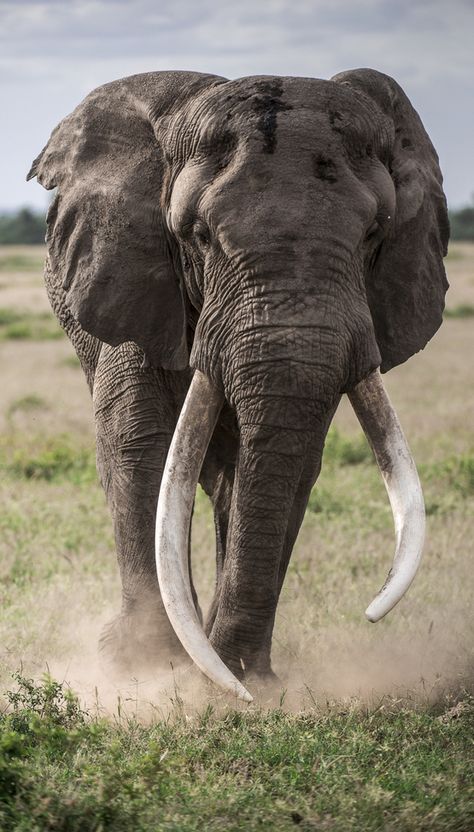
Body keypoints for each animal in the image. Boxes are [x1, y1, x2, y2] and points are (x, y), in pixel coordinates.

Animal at [27, 66, 450, 704]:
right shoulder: (133, 277)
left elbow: (295, 461)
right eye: (198, 234)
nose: (244, 685)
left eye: (375, 232)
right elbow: (137, 441)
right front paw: (149, 669)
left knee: (231, 476)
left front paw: (242, 679)